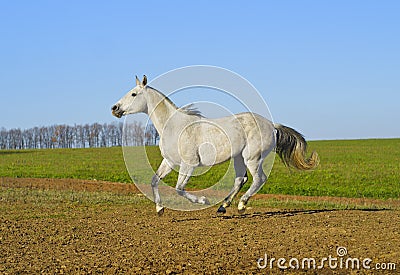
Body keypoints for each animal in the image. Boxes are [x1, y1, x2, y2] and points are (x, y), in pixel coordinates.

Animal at [111, 75, 318, 216]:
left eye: (134, 94)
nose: (114, 108)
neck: (174, 125)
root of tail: (271, 125)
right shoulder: (169, 162)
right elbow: (154, 181)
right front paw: (160, 209)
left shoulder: (189, 164)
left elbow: (179, 188)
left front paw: (203, 200)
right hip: (238, 158)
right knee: (240, 179)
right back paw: (222, 206)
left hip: (252, 158)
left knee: (259, 179)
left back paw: (241, 205)